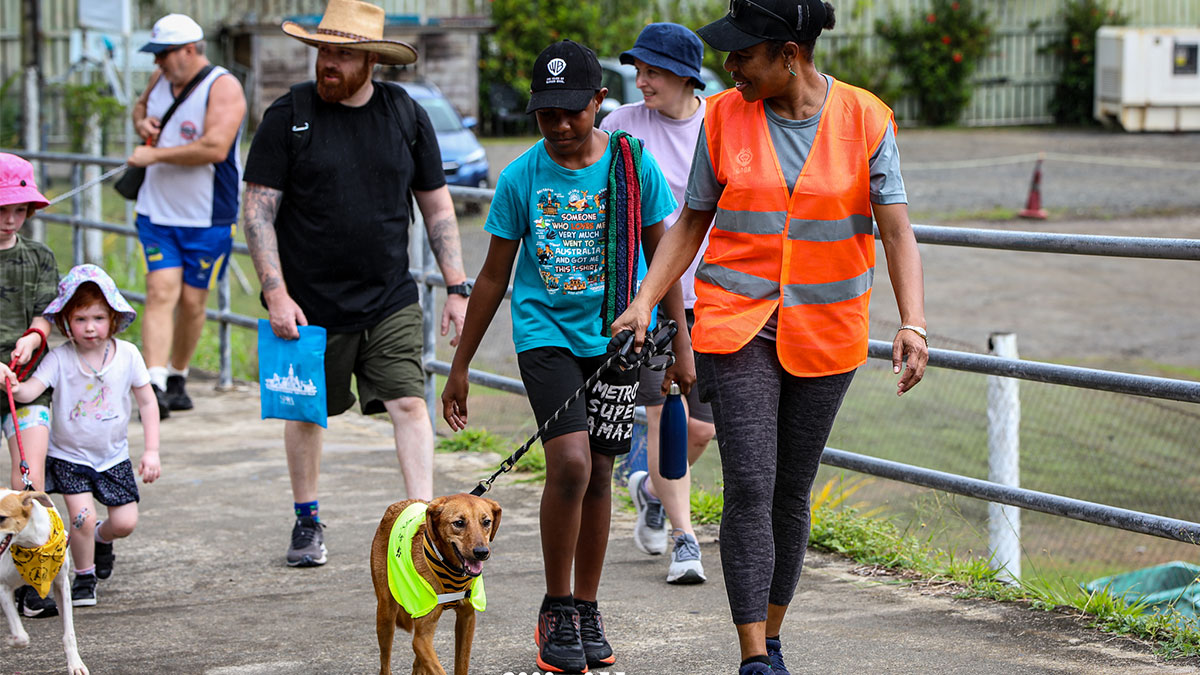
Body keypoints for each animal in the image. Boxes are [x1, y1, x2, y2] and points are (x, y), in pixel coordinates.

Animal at [0, 489, 88, 675]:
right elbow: (21, 636)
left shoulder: (61, 584)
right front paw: (11, 640)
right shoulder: (3, 587)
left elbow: (69, 633)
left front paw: (75, 664)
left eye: (2, 518)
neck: (31, 545)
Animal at [370, 493, 501, 675]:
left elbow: (461, 663)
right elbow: (437, 668)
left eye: (486, 522)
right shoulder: (422, 638)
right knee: (385, 663)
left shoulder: (467, 620)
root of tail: (397, 505)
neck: (449, 567)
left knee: (418, 662)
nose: (481, 552)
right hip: (386, 615)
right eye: (459, 523)